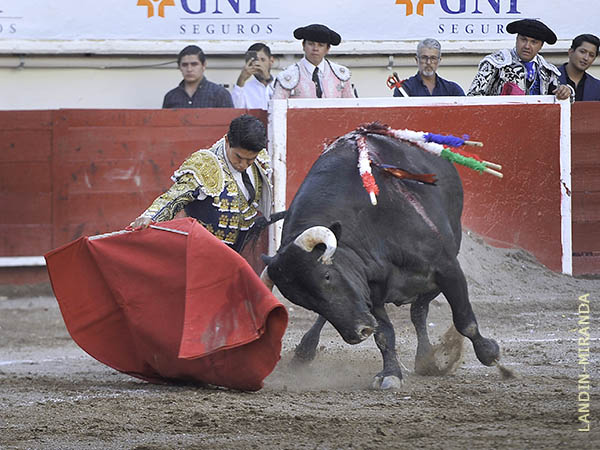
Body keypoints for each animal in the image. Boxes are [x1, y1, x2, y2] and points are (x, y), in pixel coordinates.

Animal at [262, 123, 501, 389]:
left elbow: (464, 320)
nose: (357, 333)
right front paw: (391, 374)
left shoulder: (447, 268)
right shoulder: (370, 291)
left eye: (326, 276)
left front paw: (490, 353)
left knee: (419, 312)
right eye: (305, 302)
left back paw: (427, 359)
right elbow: (385, 335)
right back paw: (305, 351)